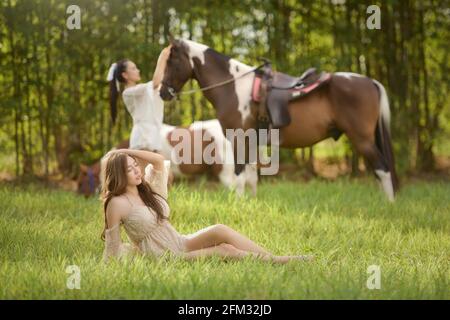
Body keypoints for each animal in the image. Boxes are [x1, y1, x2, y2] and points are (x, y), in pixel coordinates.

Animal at [154, 39, 398, 200]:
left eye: (171, 61)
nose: (162, 92)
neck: (234, 86)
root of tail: (370, 82)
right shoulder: (252, 142)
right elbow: (252, 176)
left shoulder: (238, 139)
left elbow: (239, 174)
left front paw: (238, 203)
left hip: (362, 139)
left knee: (382, 169)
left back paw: (388, 204)